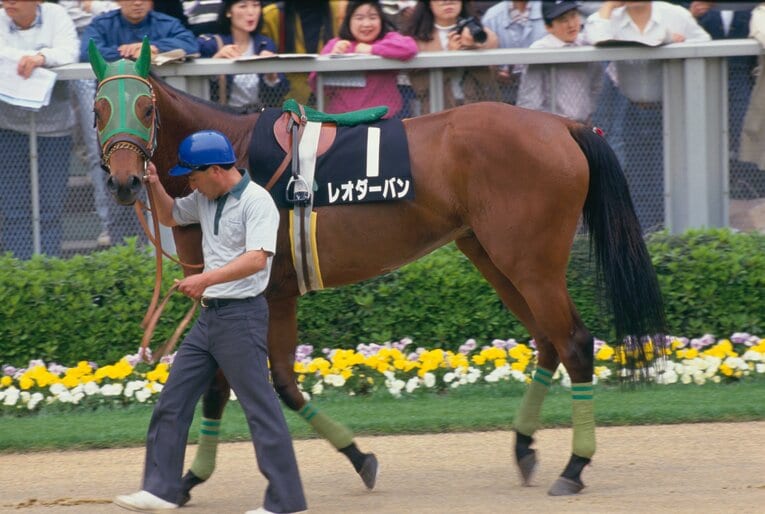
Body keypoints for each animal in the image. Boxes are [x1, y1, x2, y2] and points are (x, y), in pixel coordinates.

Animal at [88, 40, 666, 499]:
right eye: (98, 108)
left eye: (145, 107)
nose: (124, 181)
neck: (230, 159)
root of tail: (564, 125)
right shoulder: (267, 295)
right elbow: (276, 383)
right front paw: (357, 458)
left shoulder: (260, 290)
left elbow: (230, 385)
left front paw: (189, 479)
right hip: (492, 256)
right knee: (548, 341)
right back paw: (524, 447)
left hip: (532, 262)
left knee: (574, 342)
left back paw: (574, 466)